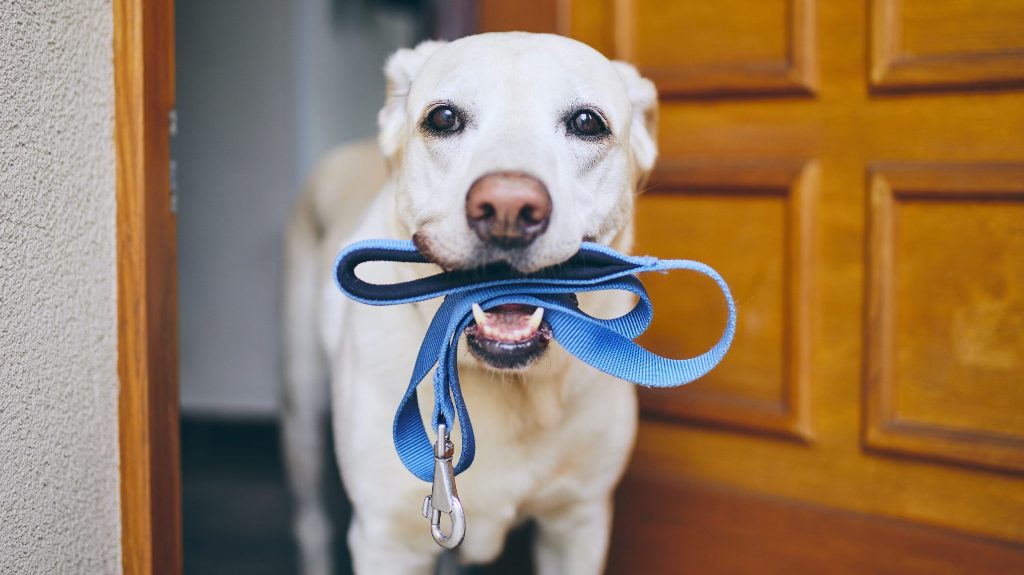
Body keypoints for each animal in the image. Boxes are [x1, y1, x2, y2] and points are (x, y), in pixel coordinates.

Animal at [284, 32, 659, 572]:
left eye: (588, 123)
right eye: (443, 118)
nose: (508, 207)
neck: (506, 384)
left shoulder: (577, 522)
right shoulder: (387, 540)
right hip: (302, 415)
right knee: (311, 523)